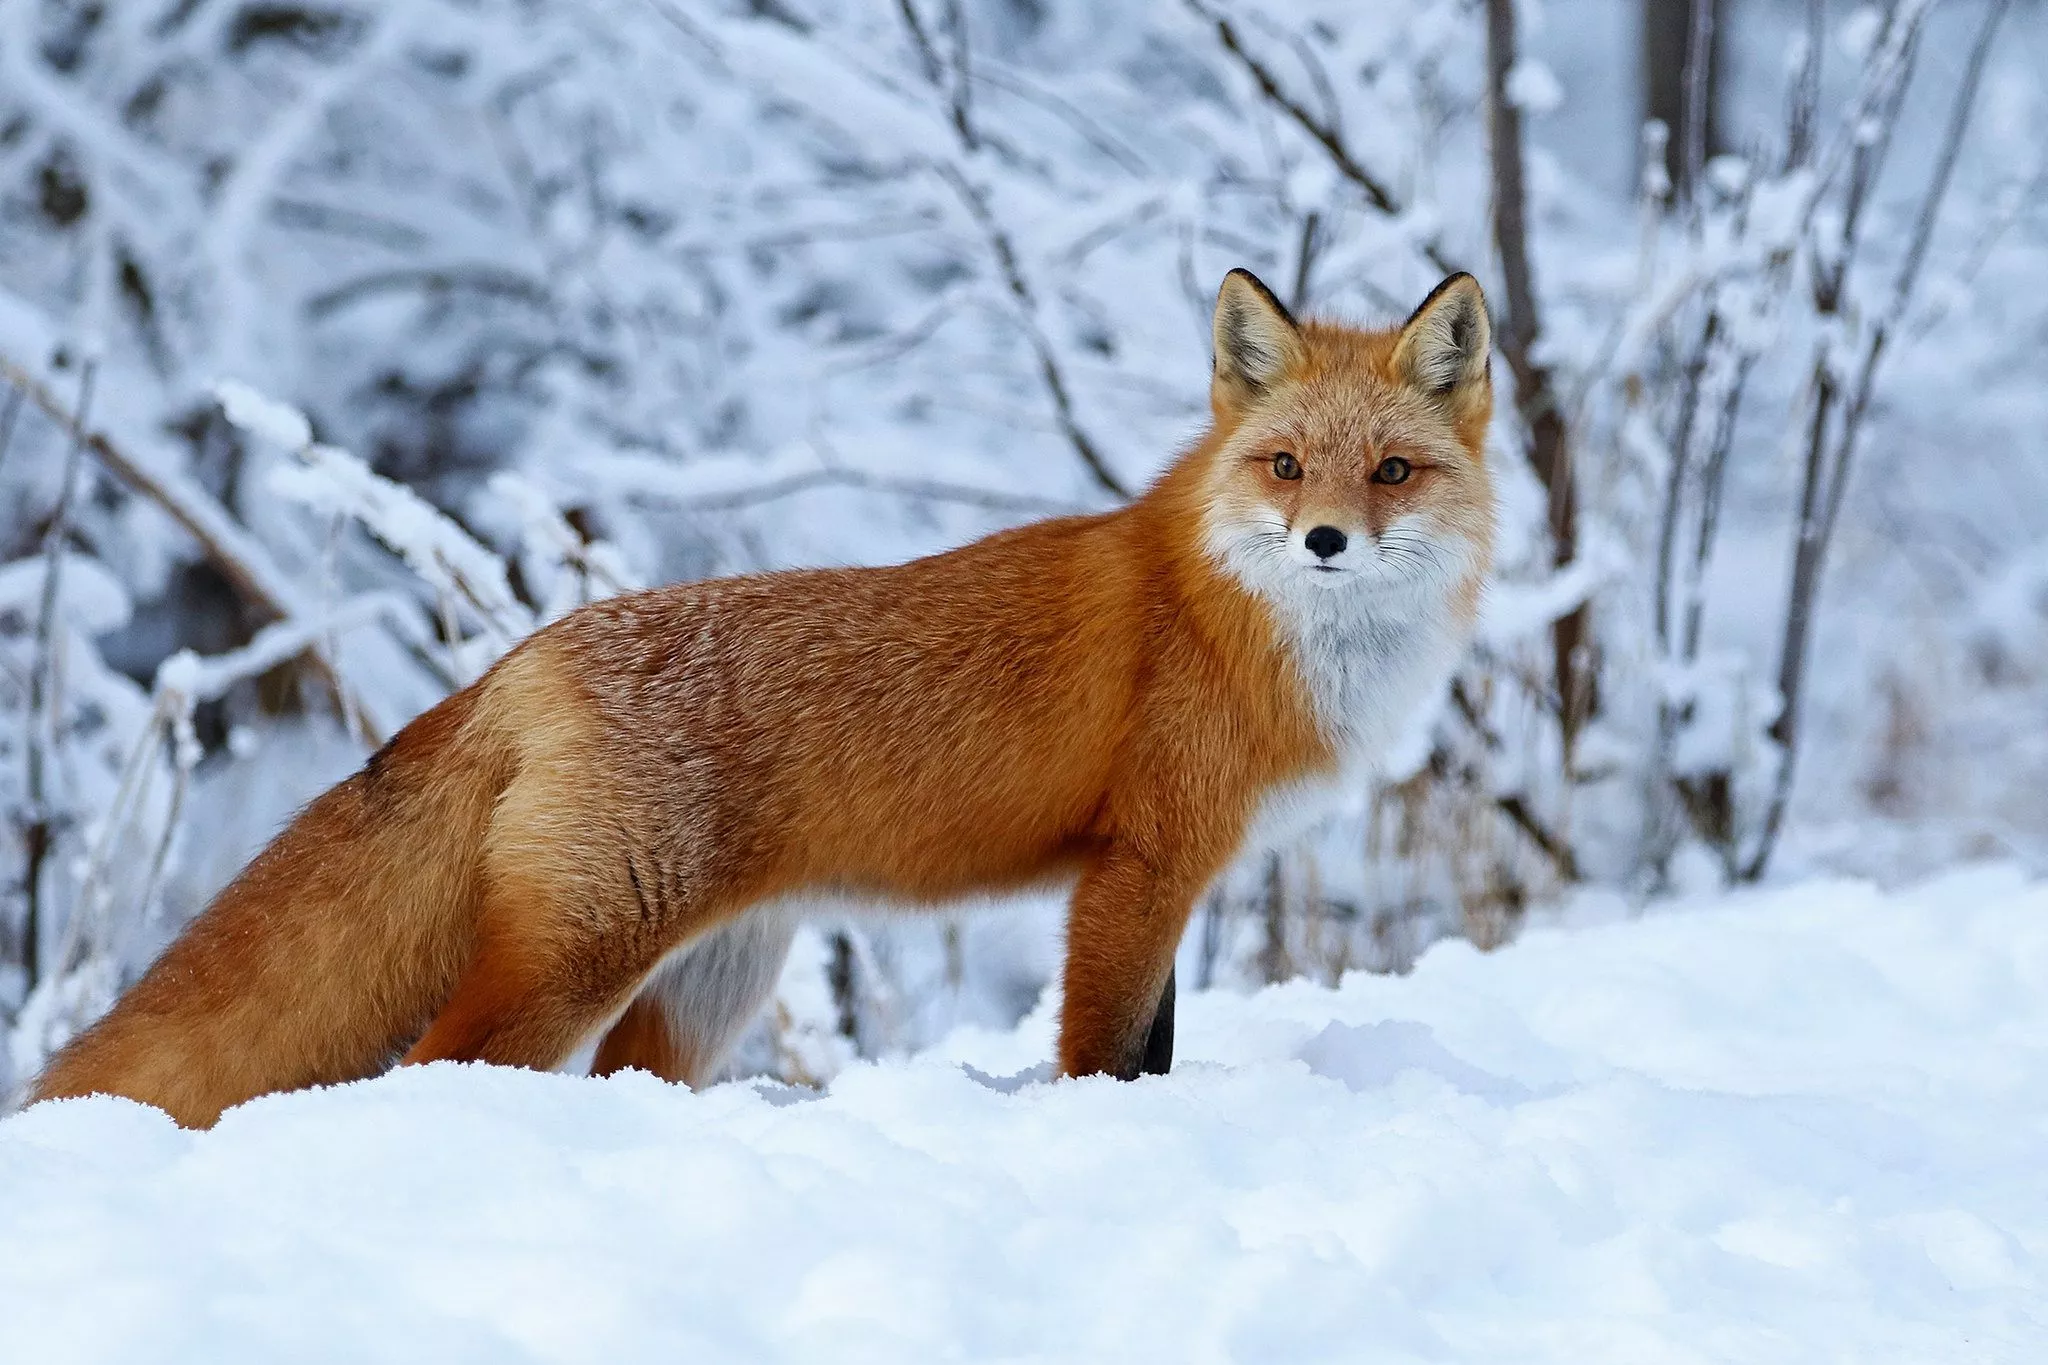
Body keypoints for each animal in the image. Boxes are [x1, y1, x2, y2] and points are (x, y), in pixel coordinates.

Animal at [28, 268, 1495, 1128]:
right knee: (436, 1066)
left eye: (1392, 473)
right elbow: (1101, 1053)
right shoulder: (1139, 867)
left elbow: (1156, 1053)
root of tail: (532, 652)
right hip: (578, 958)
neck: (1231, 615)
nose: (1324, 541)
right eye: (1287, 466)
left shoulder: (1177, 875)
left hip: (704, 986)